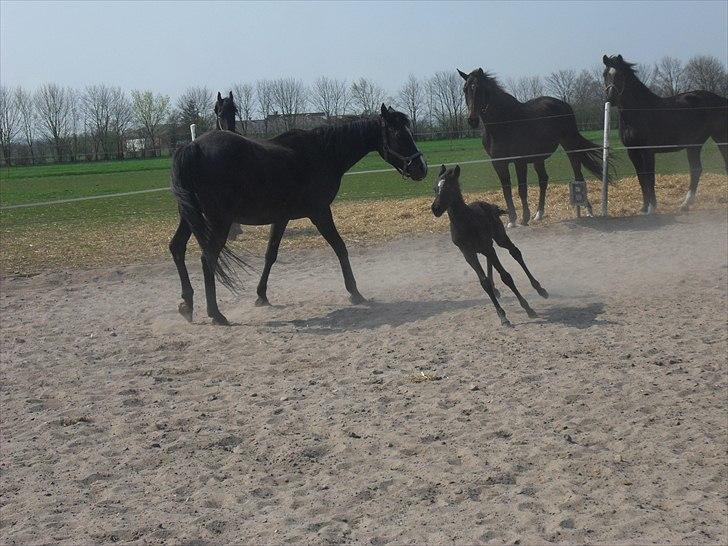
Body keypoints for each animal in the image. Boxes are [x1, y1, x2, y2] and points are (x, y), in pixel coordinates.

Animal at [170, 104, 426, 324]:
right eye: (399, 135)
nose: (421, 168)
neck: (322, 152)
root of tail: (192, 147)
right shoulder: (320, 212)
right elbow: (340, 247)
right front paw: (355, 292)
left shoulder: (281, 218)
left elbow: (270, 255)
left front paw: (261, 295)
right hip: (218, 221)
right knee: (208, 258)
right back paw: (216, 314)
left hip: (190, 217)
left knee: (177, 248)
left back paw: (187, 305)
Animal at [432, 164, 544, 326]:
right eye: (435, 188)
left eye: (449, 187)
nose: (436, 208)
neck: (465, 222)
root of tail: (489, 205)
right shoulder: (468, 254)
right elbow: (484, 283)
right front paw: (502, 315)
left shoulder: (487, 248)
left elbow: (506, 276)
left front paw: (528, 308)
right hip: (486, 246)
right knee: (491, 262)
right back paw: (495, 289)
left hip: (499, 238)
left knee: (515, 252)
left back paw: (540, 289)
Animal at [460, 67, 608, 225]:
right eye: (465, 89)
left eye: (480, 89)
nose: (472, 120)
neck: (503, 123)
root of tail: (564, 104)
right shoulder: (498, 163)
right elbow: (506, 190)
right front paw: (512, 220)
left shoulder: (519, 161)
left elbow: (522, 189)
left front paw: (524, 218)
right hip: (539, 157)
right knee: (543, 179)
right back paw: (539, 214)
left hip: (570, 145)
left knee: (578, 174)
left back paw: (588, 210)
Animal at [604, 52, 728, 210]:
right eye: (605, 74)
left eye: (621, 74)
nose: (610, 98)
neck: (639, 111)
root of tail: (721, 100)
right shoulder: (632, 151)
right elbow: (641, 178)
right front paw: (644, 207)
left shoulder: (648, 151)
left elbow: (650, 178)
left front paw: (652, 208)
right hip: (694, 145)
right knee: (696, 169)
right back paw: (685, 204)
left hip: (720, 138)